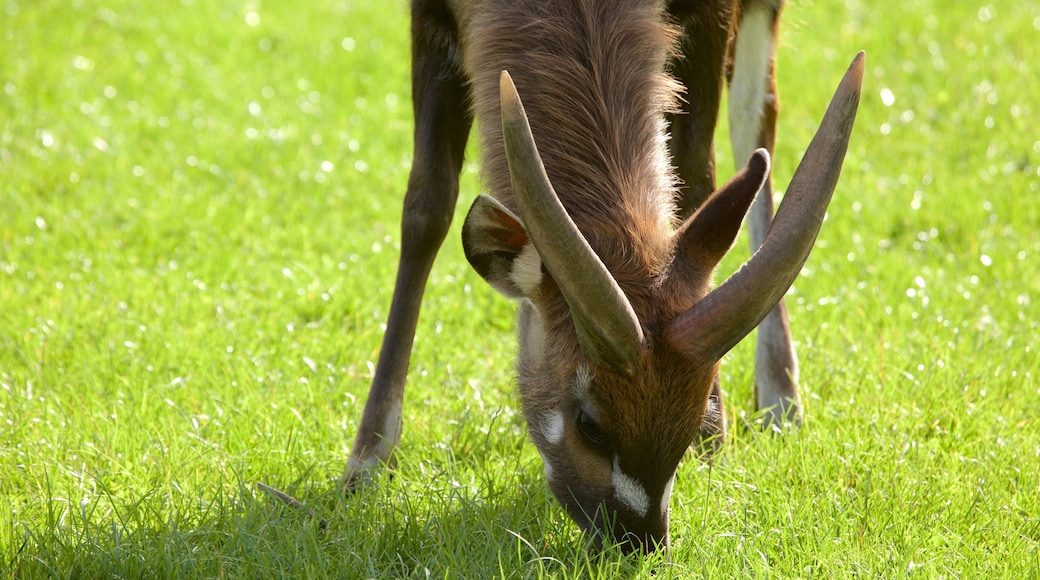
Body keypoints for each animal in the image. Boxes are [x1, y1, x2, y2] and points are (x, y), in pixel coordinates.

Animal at [345, 0, 865, 552]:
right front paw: (366, 461)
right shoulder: (428, 16)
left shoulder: (711, 17)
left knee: (756, 114)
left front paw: (715, 446)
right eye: (589, 423)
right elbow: (426, 205)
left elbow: (695, 175)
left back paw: (782, 401)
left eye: (693, 417)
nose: (639, 540)